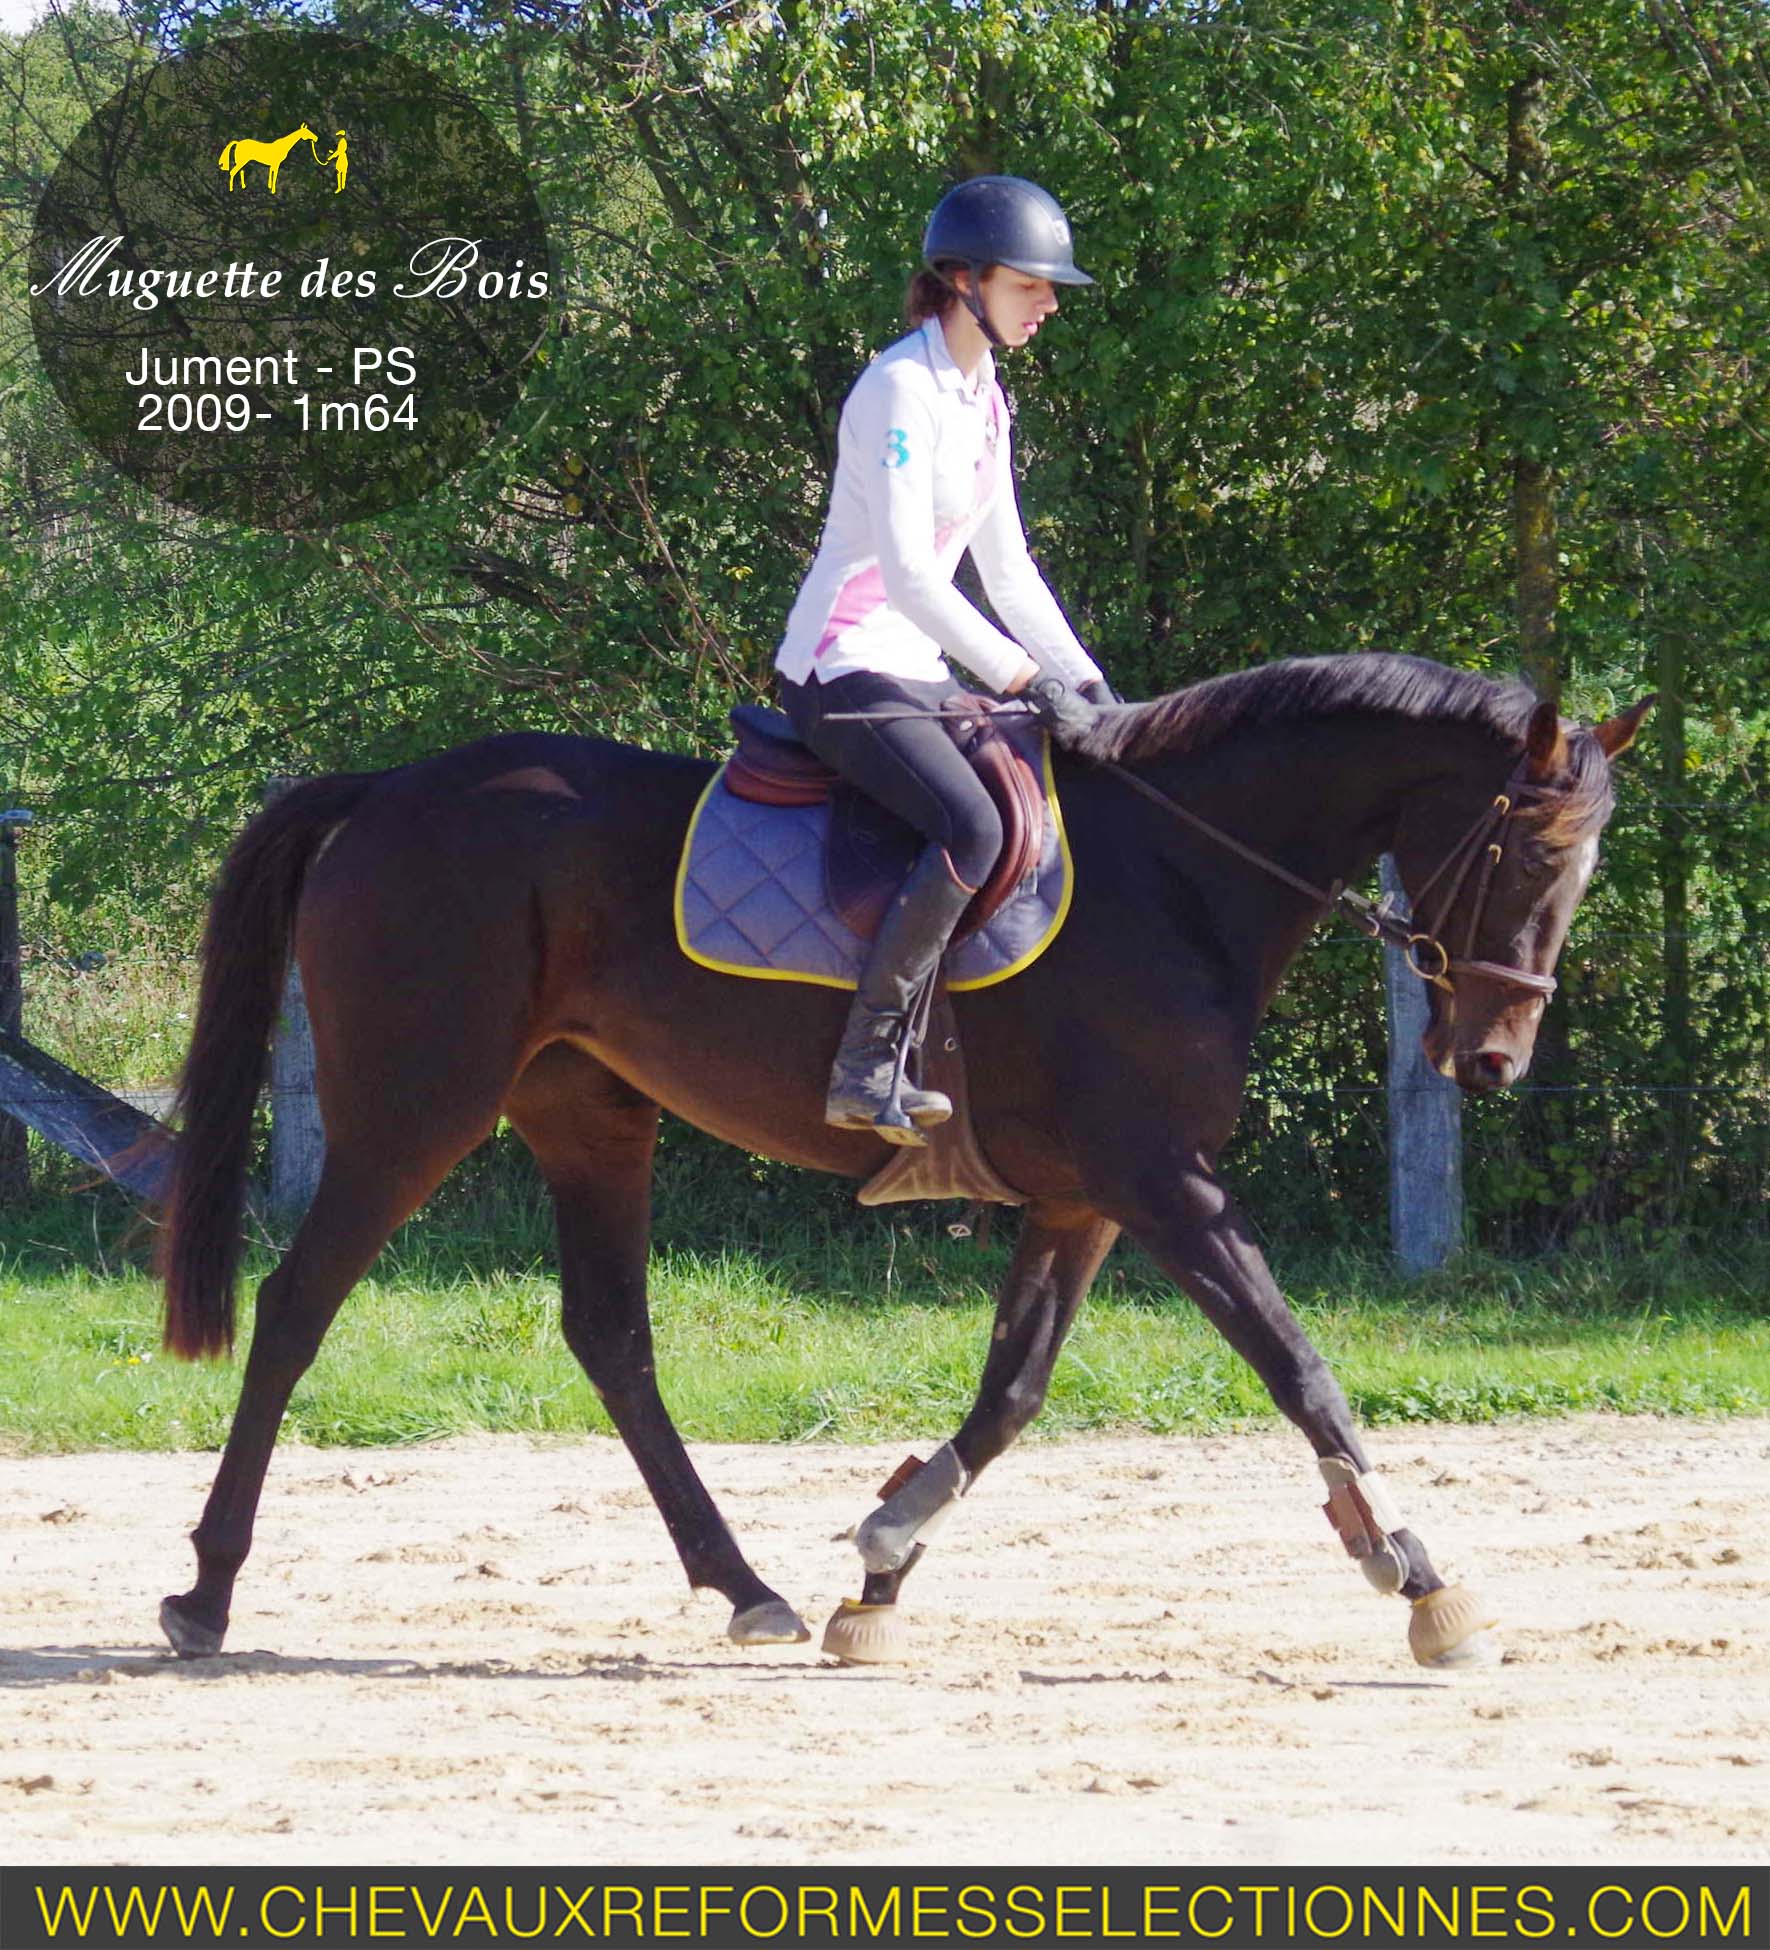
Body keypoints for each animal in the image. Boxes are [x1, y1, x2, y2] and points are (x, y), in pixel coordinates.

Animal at [158, 663, 1653, 1669]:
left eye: (1584, 866)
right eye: (1526, 853)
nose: (1492, 1060)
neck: (1177, 872)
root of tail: (387, 790)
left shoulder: (1087, 1197)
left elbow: (1012, 1392)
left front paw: (880, 1564)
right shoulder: (1165, 1180)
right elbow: (1299, 1365)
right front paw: (1416, 1572)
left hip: (588, 1114)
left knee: (611, 1338)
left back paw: (744, 1585)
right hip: (417, 1105)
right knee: (297, 1304)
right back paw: (206, 1593)